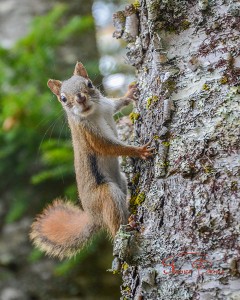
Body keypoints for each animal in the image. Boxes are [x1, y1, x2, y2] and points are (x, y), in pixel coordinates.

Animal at [30, 62, 154, 258]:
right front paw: (138, 151)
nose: (80, 98)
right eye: (63, 98)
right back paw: (129, 224)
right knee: (115, 224)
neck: (95, 112)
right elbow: (111, 148)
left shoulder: (107, 106)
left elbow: (118, 103)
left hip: (121, 182)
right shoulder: (91, 136)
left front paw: (130, 93)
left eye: (89, 84)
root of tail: (93, 217)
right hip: (106, 195)